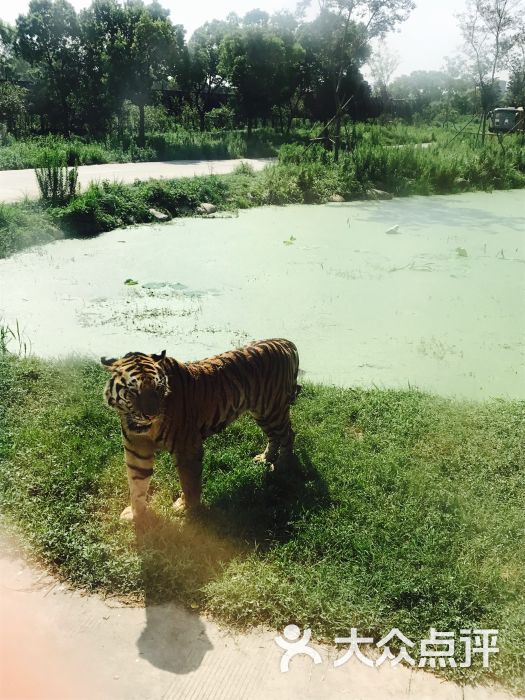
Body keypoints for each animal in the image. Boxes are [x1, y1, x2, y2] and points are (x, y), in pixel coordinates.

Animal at [101, 336, 298, 524]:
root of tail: (285, 342)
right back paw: (266, 458)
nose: (151, 414)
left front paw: (187, 509)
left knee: (288, 434)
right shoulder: (137, 450)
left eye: (158, 388)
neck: (142, 427)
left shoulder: (186, 447)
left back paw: (283, 465)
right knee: (274, 436)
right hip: (261, 413)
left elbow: (189, 482)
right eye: (134, 392)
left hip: (273, 410)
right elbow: (137, 484)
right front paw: (135, 514)